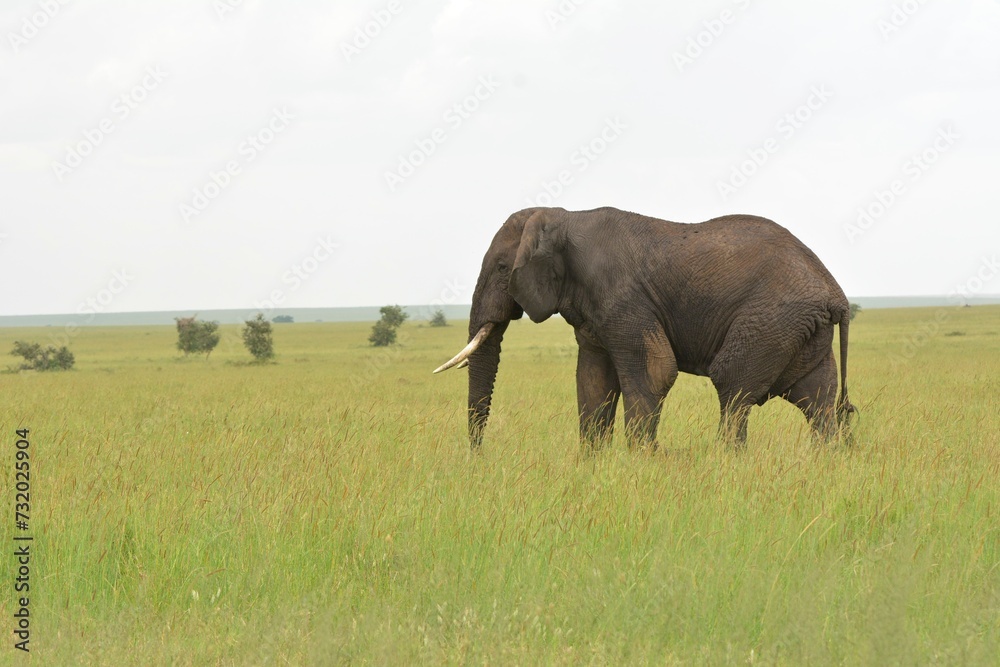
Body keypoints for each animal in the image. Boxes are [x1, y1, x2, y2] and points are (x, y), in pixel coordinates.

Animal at [434, 206, 855, 449]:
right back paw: (825, 461)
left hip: (771, 321)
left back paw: (725, 463)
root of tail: (836, 291)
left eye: (503, 268)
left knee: (733, 388)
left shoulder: (623, 298)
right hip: (801, 329)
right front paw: (593, 466)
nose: (478, 456)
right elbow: (593, 381)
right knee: (817, 400)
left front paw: (640, 465)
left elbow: (655, 371)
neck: (563, 216)